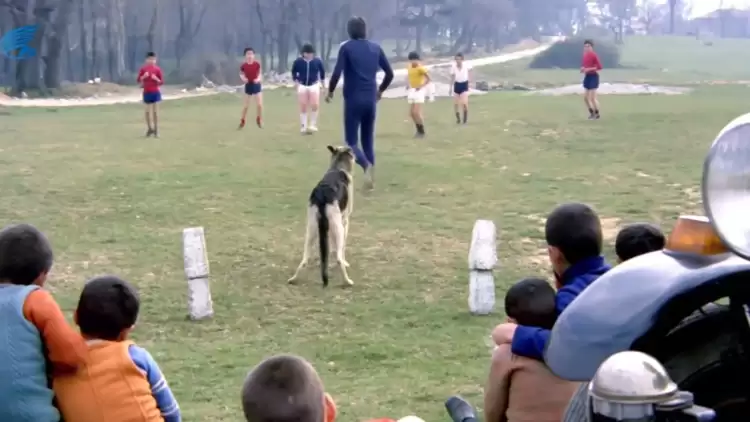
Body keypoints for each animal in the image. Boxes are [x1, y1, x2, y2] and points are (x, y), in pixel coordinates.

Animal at [290, 145, 356, 286]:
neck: (337, 167)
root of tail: (322, 195)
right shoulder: (345, 221)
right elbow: (341, 249)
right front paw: (344, 261)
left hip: (312, 229)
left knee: (305, 259)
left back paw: (293, 278)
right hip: (338, 227)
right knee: (338, 258)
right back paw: (347, 281)